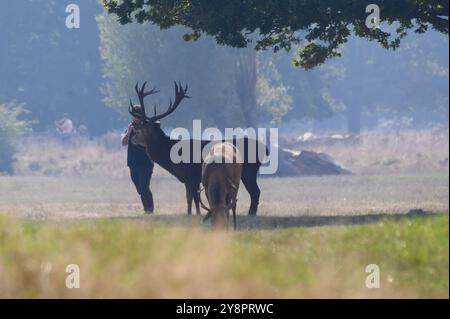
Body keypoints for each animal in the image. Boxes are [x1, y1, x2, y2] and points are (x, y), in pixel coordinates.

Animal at [127, 80, 268, 218]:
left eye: (141, 128)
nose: (133, 138)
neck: (172, 157)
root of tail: (265, 148)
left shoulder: (192, 176)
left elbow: (194, 199)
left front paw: (197, 214)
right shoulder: (187, 180)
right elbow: (189, 199)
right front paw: (189, 214)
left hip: (249, 171)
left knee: (255, 191)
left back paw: (251, 213)